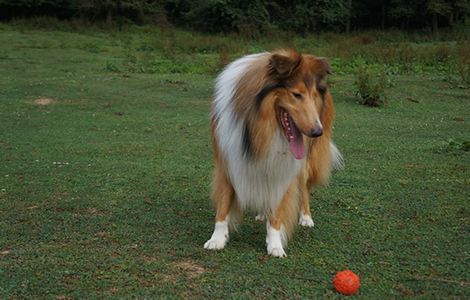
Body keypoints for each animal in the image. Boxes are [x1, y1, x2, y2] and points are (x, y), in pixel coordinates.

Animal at [205, 49, 342, 258]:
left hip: (304, 161)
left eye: (314, 95)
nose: (318, 132)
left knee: (303, 189)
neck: (258, 129)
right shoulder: (227, 161)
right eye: (296, 94)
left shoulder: (283, 169)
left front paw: (275, 245)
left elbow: (278, 211)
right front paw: (217, 239)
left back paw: (306, 217)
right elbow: (223, 204)